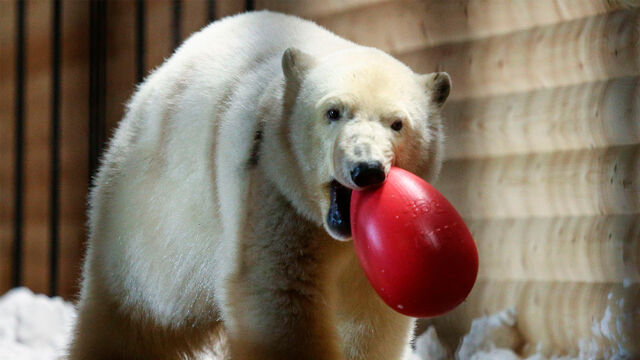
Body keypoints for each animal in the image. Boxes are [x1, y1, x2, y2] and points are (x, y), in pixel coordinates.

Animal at [67, 10, 450, 360]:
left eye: (397, 123)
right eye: (333, 112)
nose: (366, 169)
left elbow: (370, 315)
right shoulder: (273, 189)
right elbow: (279, 295)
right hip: (151, 218)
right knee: (129, 314)